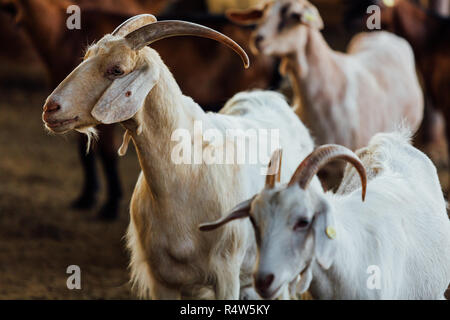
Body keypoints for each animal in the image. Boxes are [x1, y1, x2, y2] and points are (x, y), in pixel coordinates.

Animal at [41, 14, 316, 300]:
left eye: (117, 69)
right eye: (86, 57)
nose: (51, 108)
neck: (186, 174)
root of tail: (269, 96)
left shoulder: (226, 273)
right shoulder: (162, 278)